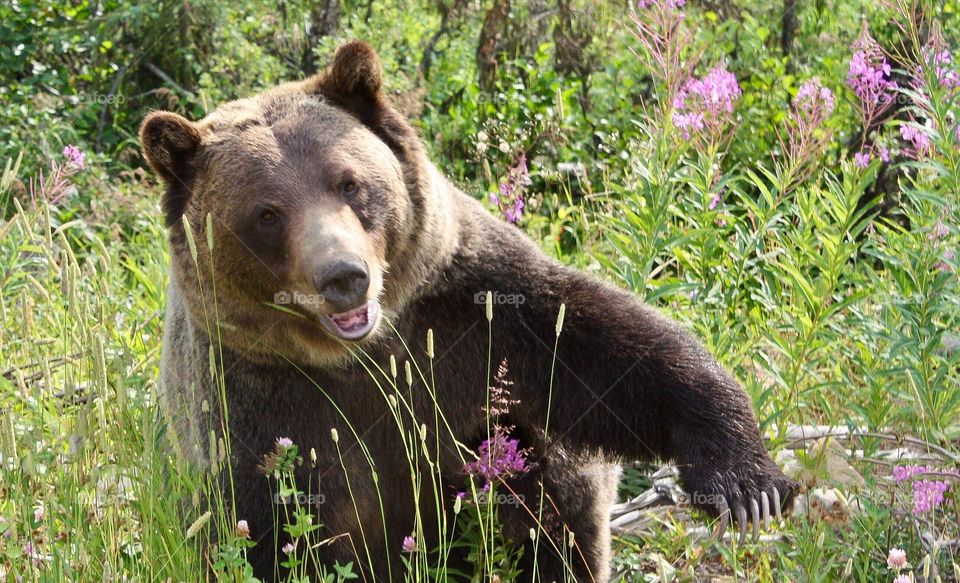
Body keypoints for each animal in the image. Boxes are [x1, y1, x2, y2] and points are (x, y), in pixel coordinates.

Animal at [140, 41, 798, 582]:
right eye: (267, 213)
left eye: (349, 183)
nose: (344, 277)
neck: (361, 356)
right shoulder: (253, 398)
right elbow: (265, 528)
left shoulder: (469, 308)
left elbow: (610, 353)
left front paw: (747, 483)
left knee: (548, 484)